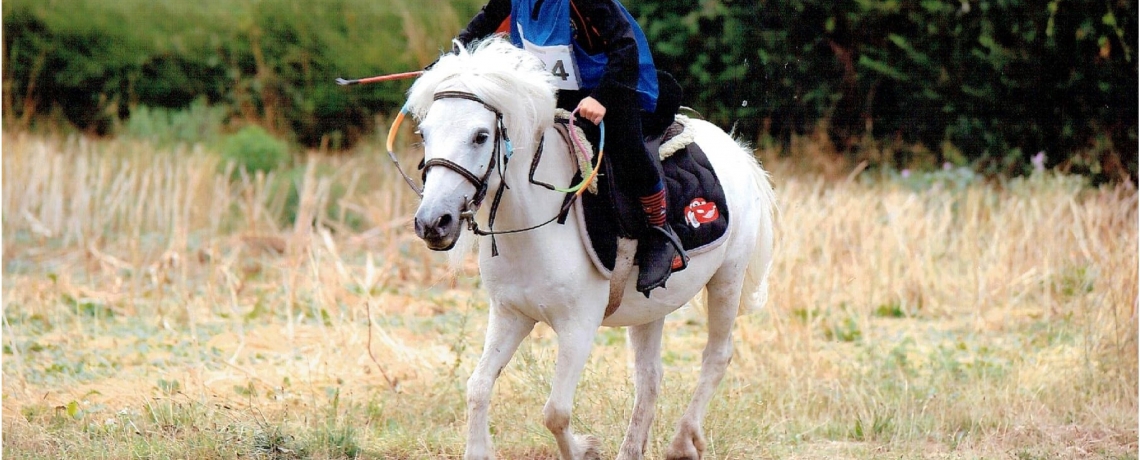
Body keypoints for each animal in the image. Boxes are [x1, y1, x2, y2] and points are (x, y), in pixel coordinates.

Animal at [403, 39, 775, 459]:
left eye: (480, 136)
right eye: (425, 133)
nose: (433, 222)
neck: (533, 226)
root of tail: (736, 150)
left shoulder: (578, 325)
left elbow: (555, 412)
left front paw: (585, 449)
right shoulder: (510, 314)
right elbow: (478, 387)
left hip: (728, 278)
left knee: (716, 355)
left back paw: (683, 441)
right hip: (651, 306)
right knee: (650, 376)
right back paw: (632, 450)